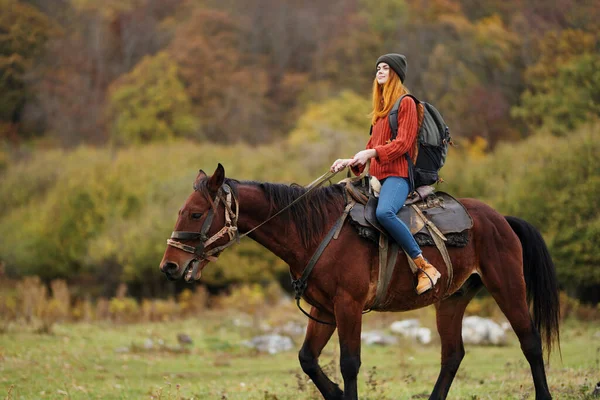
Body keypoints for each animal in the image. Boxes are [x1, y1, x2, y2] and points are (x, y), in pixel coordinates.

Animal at [158, 163, 556, 400]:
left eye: (195, 213)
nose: (169, 266)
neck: (316, 231)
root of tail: (500, 218)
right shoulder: (324, 310)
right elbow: (308, 359)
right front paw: (333, 393)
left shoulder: (348, 306)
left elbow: (349, 363)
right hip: (452, 299)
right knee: (452, 354)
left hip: (508, 287)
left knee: (531, 342)